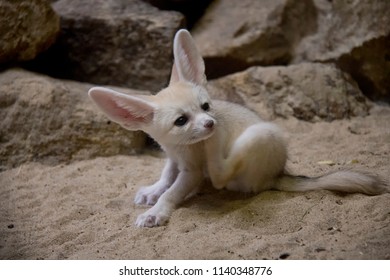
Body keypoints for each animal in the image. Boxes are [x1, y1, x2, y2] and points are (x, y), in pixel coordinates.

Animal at [89, 29, 386, 228]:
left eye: (206, 106)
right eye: (181, 121)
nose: (210, 123)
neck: (180, 147)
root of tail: (278, 175)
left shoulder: (192, 170)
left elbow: (173, 192)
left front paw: (156, 212)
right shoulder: (173, 157)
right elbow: (166, 176)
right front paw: (153, 190)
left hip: (258, 136)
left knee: (220, 177)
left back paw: (215, 145)